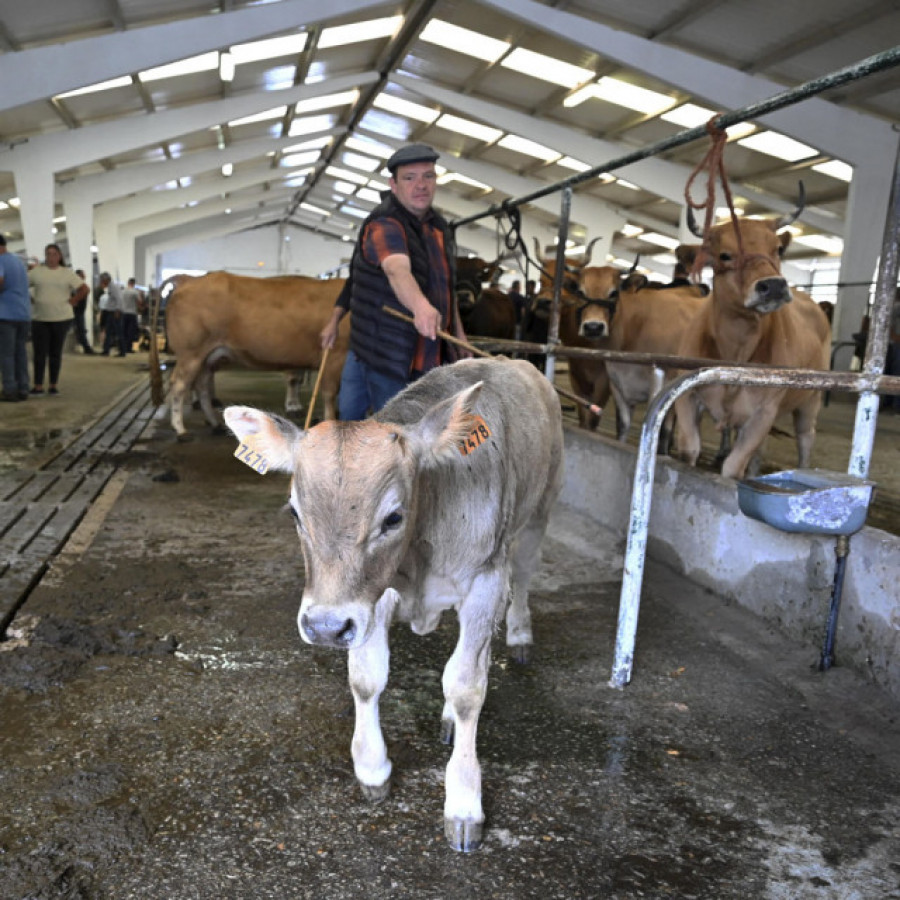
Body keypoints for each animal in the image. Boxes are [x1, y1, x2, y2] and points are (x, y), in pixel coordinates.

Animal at [153, 270, 350, 436]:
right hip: (191, 353)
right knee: (179, 385)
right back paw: (180, 429)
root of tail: (189, 278)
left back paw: (215, 424)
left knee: (201, 386)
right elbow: (330, 394)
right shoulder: (335, 355)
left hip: (206, 357)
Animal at [223, 356, 564, 852]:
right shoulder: (371, 597)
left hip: (539, 511)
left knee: (521, 577)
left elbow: (467, 687)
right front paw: (372, 768)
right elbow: (367, 679)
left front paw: (464, 801)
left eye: (393, 517)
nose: (325, 627)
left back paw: (520, 635)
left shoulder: (485, 579)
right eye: (295, 513)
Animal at [672, 212, 832, 482]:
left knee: (805, 439)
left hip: (811, 400)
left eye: (778, 249)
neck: (736, 351)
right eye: (725, 255)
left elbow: (732, 468)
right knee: (760, 453)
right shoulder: (687, 397)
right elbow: (689, 451)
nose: (774, 285)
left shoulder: (764, 412)